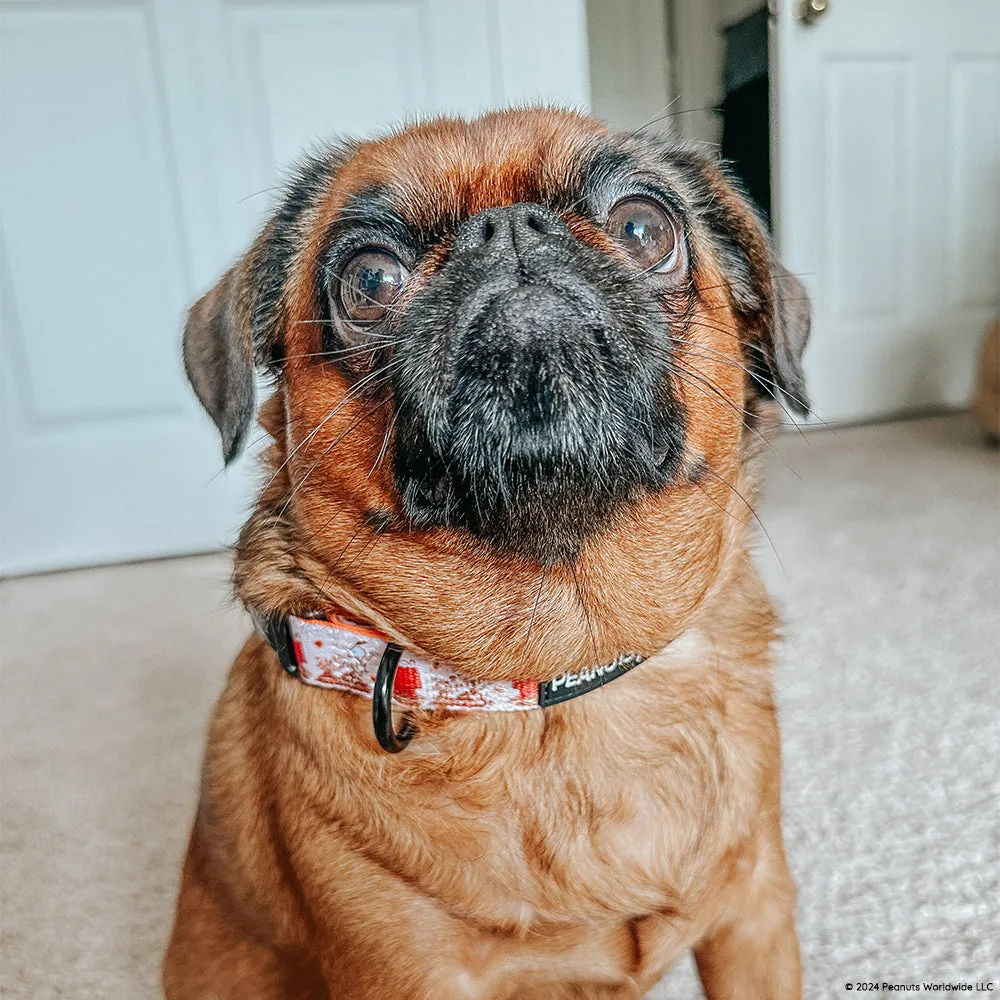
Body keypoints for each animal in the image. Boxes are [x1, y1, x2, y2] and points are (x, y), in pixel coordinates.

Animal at [160, 105, 808, 996]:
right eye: (370, 279)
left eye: (643, 226)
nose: (507, 230)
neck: (557, 672)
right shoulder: (406, 972)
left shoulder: (754, 917)